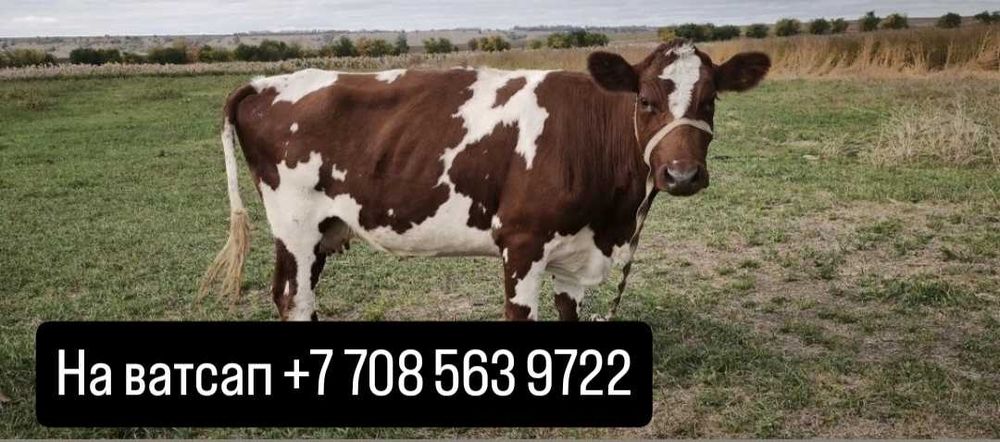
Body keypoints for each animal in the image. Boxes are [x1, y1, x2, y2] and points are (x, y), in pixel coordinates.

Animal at [201, 39, 770, 321]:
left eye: (710, 100)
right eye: (646, 101)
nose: (682, 174)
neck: (615, 218)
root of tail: (267, 81)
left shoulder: (577, 247)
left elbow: (568, 315)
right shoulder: (522, 240)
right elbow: (520, 318)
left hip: (324, 229)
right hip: (294, 226)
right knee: (292, 298)